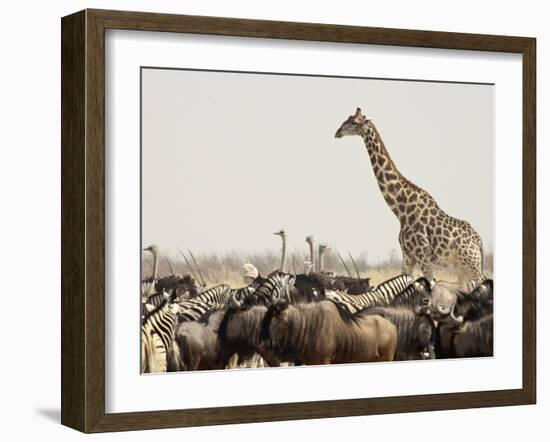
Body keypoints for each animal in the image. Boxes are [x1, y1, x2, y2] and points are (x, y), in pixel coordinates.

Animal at [334, 107, 486, 286]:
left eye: (354, 122)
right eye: (346, 119)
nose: (337, 132)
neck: (402, 210)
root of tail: (479, 241)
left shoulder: (423, 254)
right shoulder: (407, 255)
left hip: (472, 263)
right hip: (460, 266)